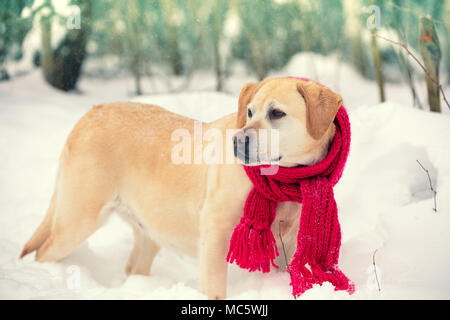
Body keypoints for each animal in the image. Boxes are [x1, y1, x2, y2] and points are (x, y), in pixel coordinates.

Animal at [20, 76, 342, 298]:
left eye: (277, 114)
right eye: (250, 113)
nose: (237, 141)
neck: (286, 179)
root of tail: (90, 113)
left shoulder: (285, 244)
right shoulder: (215, 232)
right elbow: (215, 289)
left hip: (147, 230)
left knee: (134, 266)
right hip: (78, 219)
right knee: (42, 252)